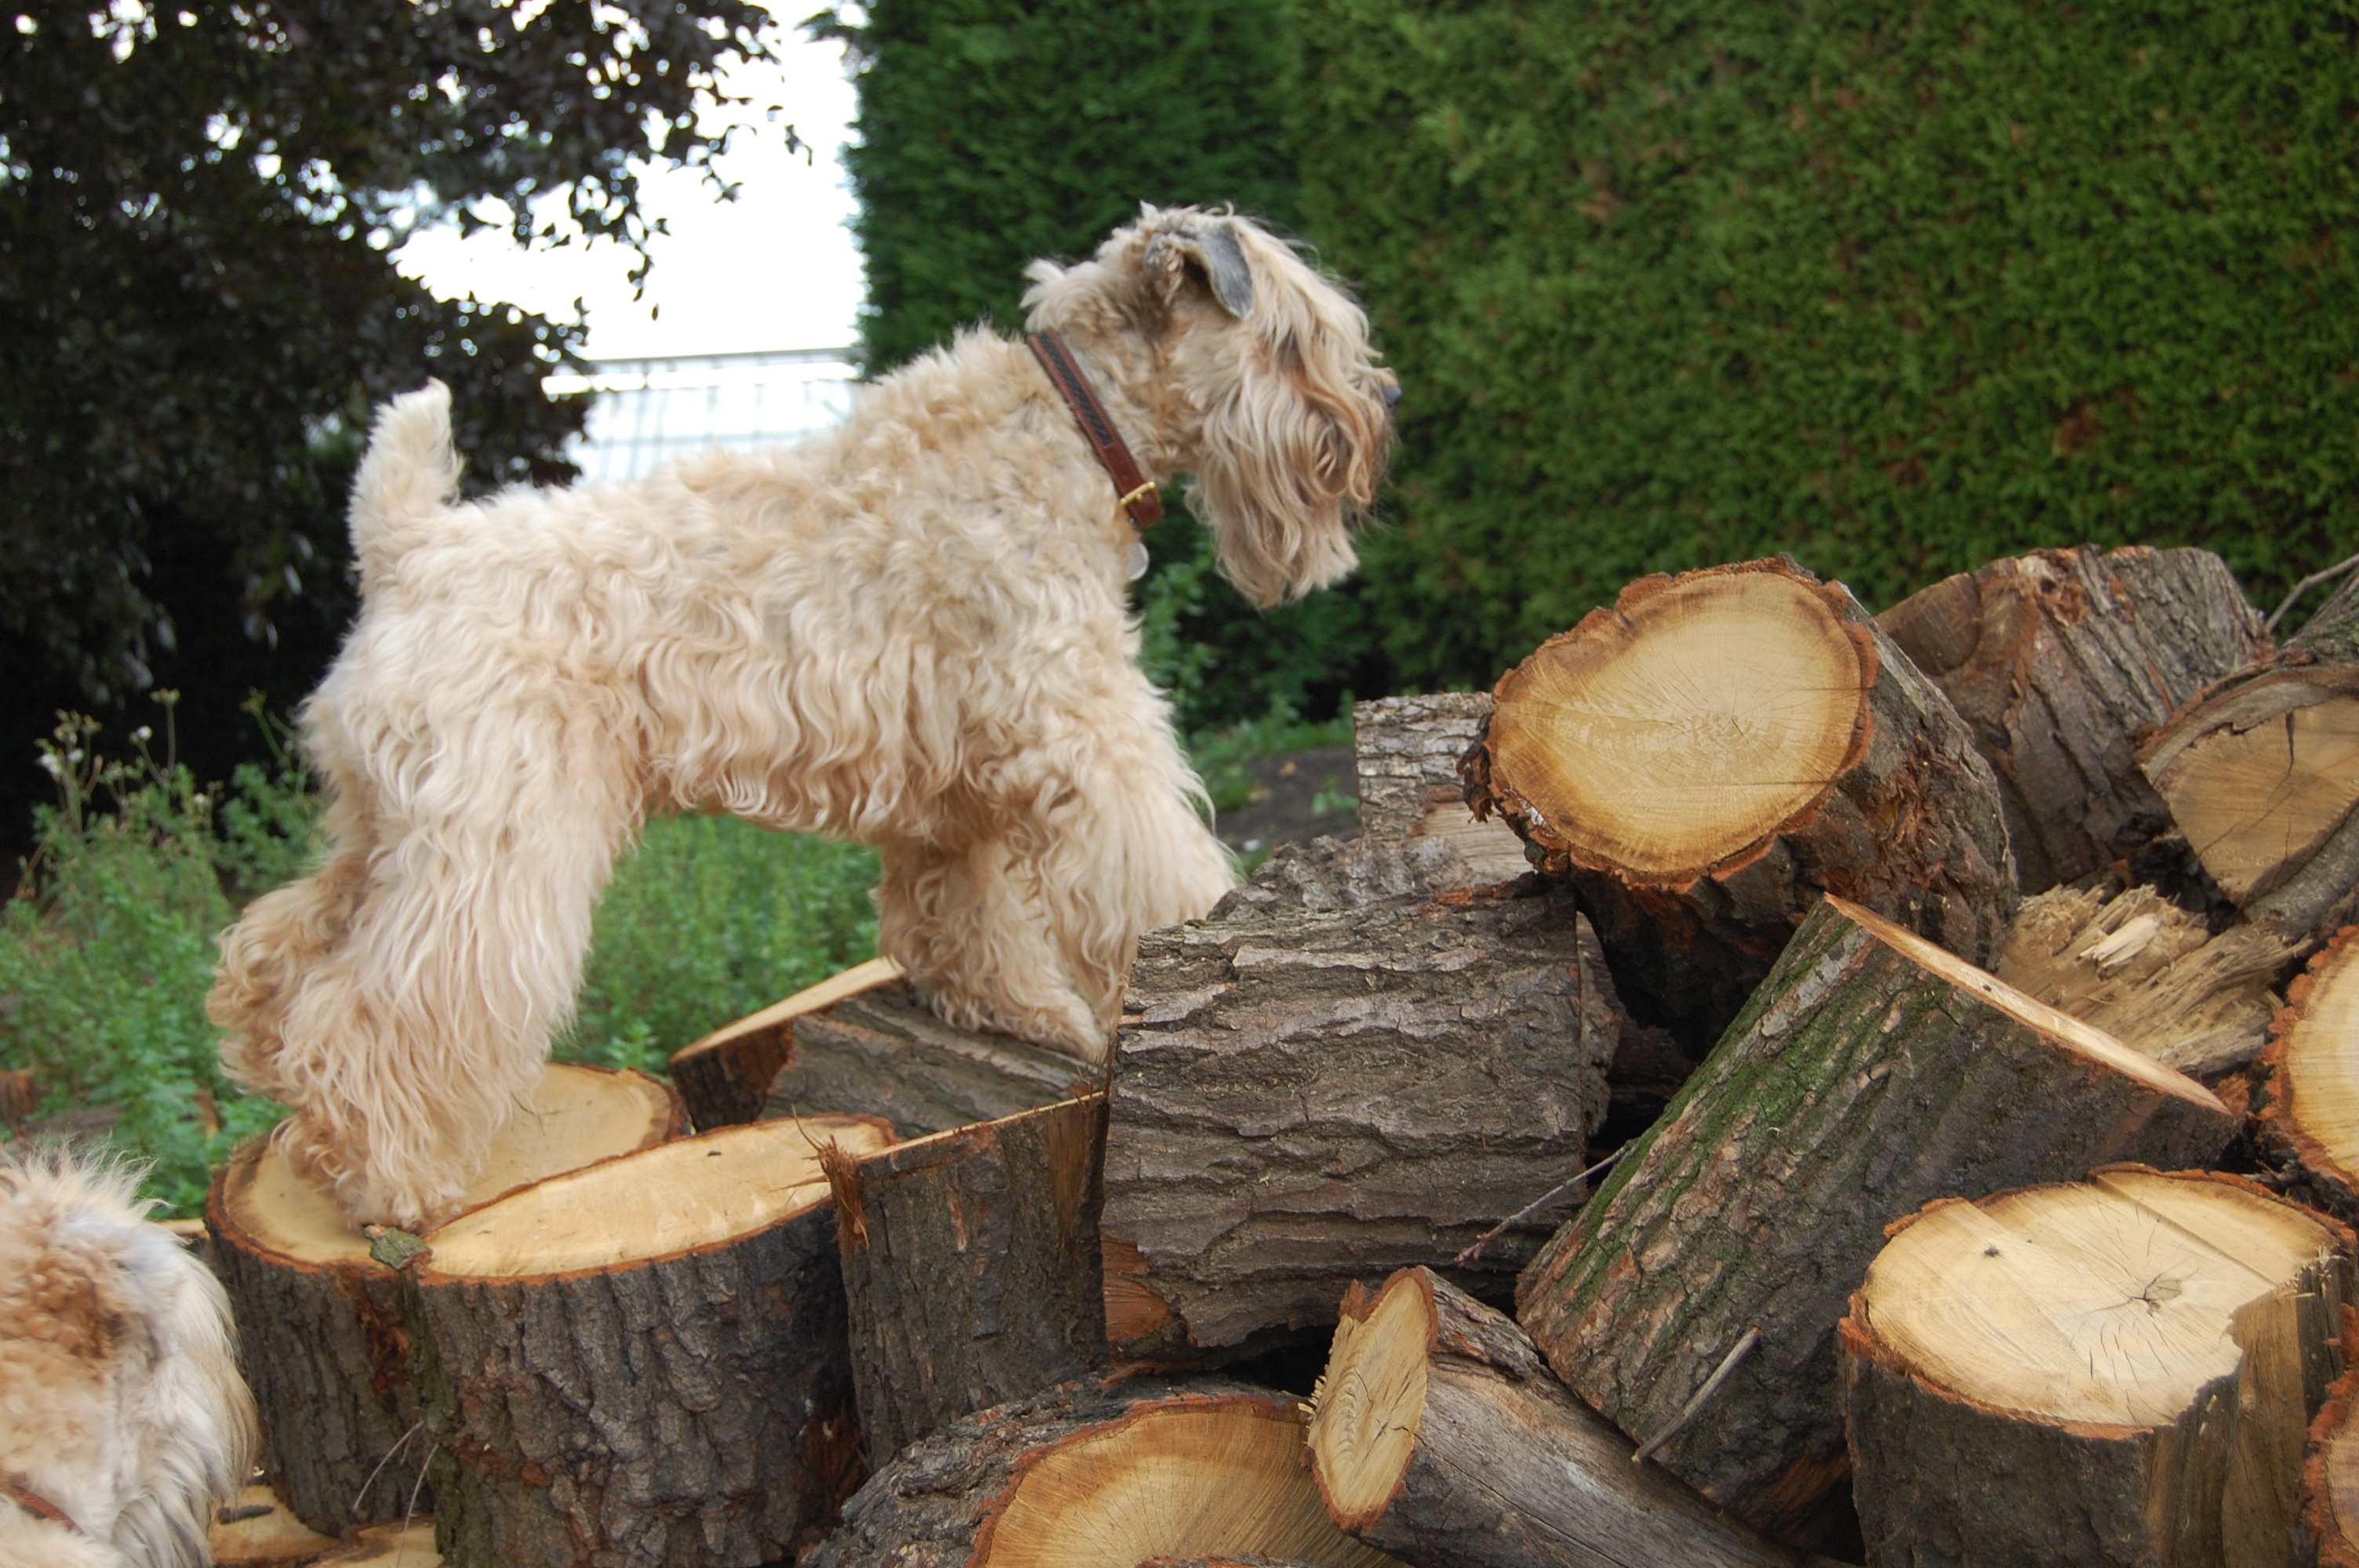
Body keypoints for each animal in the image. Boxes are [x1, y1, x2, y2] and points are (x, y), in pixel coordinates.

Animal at [207, 205, 1396, 1225]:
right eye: (1292, 336)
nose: (1373, 413)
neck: (1069, 424)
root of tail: (407, 548)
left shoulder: (960, 764)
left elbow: (961, 911)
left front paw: (1027, 1010)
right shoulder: (1083, 727)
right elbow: (1149, 874)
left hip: (389, 821)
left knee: (285, 944)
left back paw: (272, 1072)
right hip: (495, 840)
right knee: (388, 1006)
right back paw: (390, 1177)